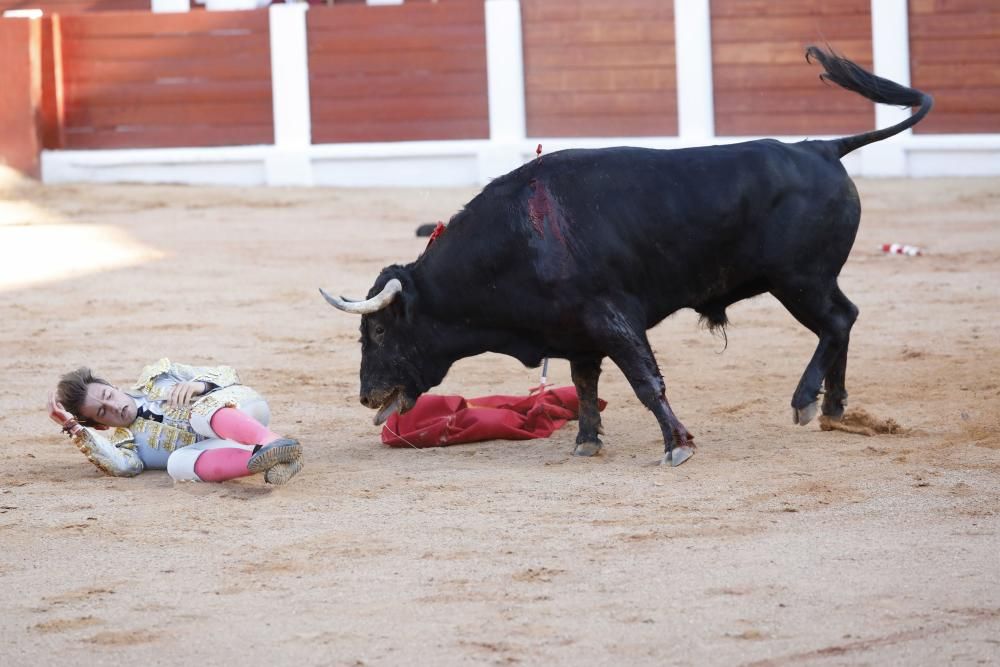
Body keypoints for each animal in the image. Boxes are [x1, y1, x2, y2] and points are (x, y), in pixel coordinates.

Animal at [324, 47, 932, 468]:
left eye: (378, 331)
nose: (366, 395)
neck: (517, 242)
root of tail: (822, 147)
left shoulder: (611, 318)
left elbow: (644, 380)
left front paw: (677, 445)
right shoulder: (576, 333)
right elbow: (586, 385)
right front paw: (586, 442)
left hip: (798, 279)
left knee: (837, 321)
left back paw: (807, 401)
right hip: (811, 280)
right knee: (843, 320)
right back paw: (834, 409)